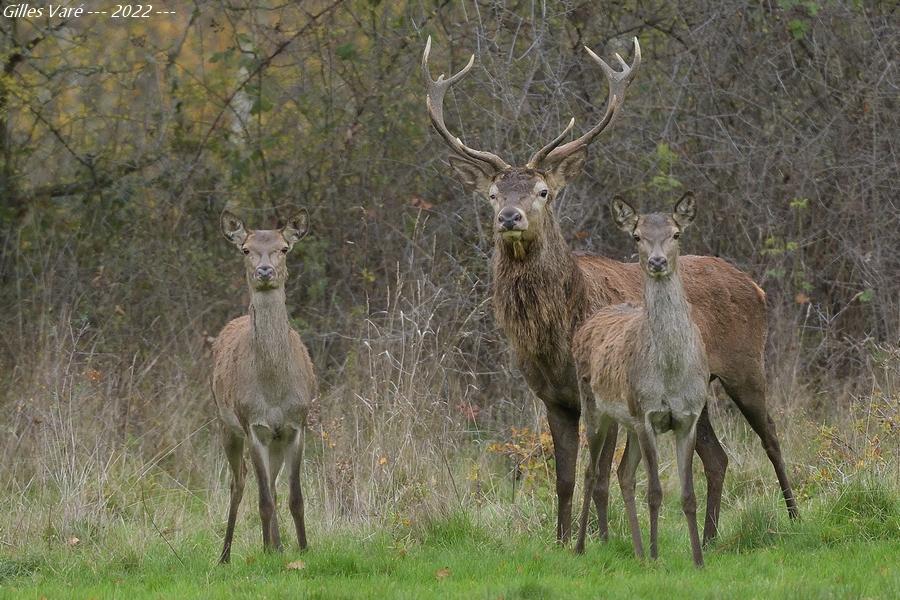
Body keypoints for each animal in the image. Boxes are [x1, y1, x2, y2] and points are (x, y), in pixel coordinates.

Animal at [422, 36, 796, 544]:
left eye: (543, 192)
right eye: (493, 195)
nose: (509, 218)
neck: (558, 332)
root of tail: (755, 286)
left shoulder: (605, 391)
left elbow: (600, 473)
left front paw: (601, 541)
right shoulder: (553, 398)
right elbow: (563, 479)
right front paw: (562, 541)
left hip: (745, 364)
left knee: (771, 437)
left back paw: (794, 517)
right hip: (693, 385)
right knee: (716, 457)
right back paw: (711, 538)